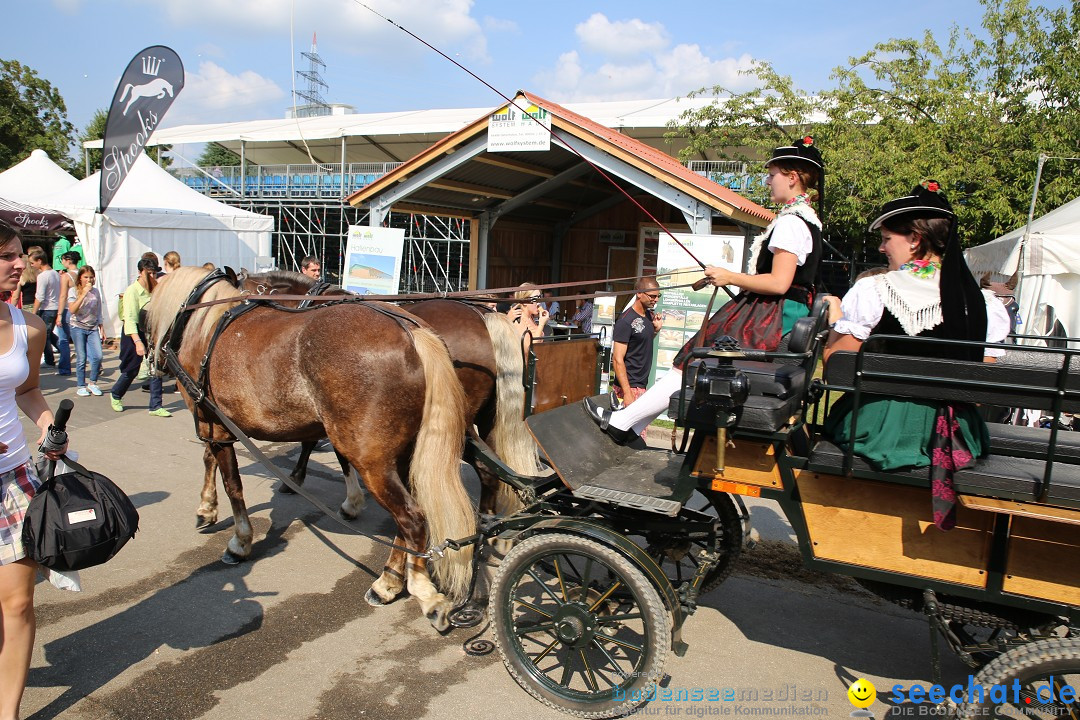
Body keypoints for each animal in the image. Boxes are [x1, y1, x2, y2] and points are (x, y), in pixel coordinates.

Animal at [145, 267, 475, 626]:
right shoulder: (218, 425)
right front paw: (207, 508)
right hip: (400, 457)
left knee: (412, 518)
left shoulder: (213, 424)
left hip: (372, 461)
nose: (153, 363)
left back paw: (418, 590)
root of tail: (411, 331)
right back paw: (389, 579)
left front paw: (239, 540)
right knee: (406, 520)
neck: (206, 323)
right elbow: (212, 463)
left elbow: (232, 484)